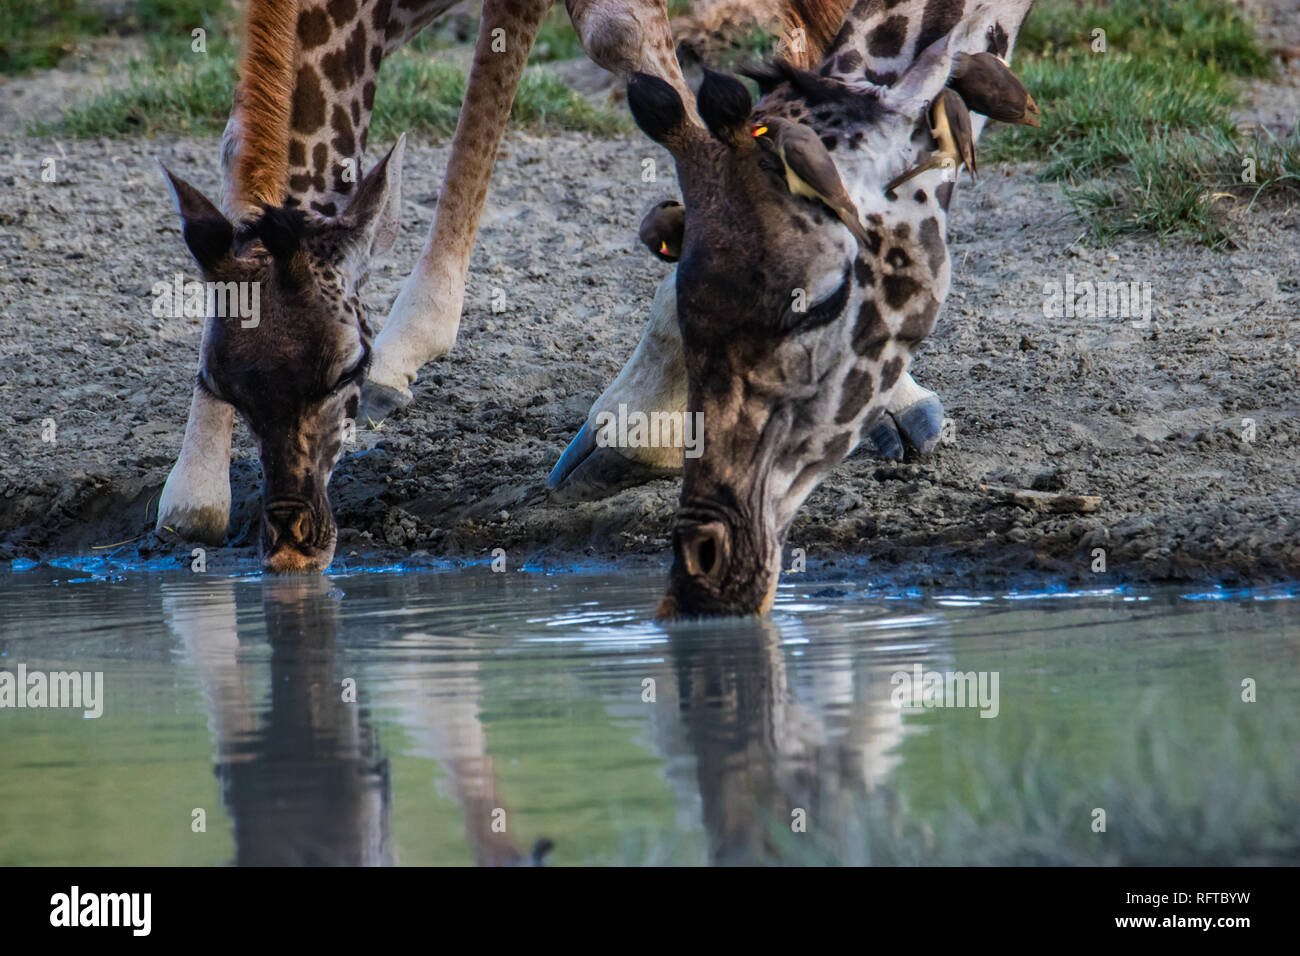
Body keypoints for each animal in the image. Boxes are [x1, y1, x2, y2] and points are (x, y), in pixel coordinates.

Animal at [156, 0, 707, 567]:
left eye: (346, 369)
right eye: (219, 384)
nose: (292, 549)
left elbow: (617, 40)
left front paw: (643, 427)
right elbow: (235, 137)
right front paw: (195, 489)